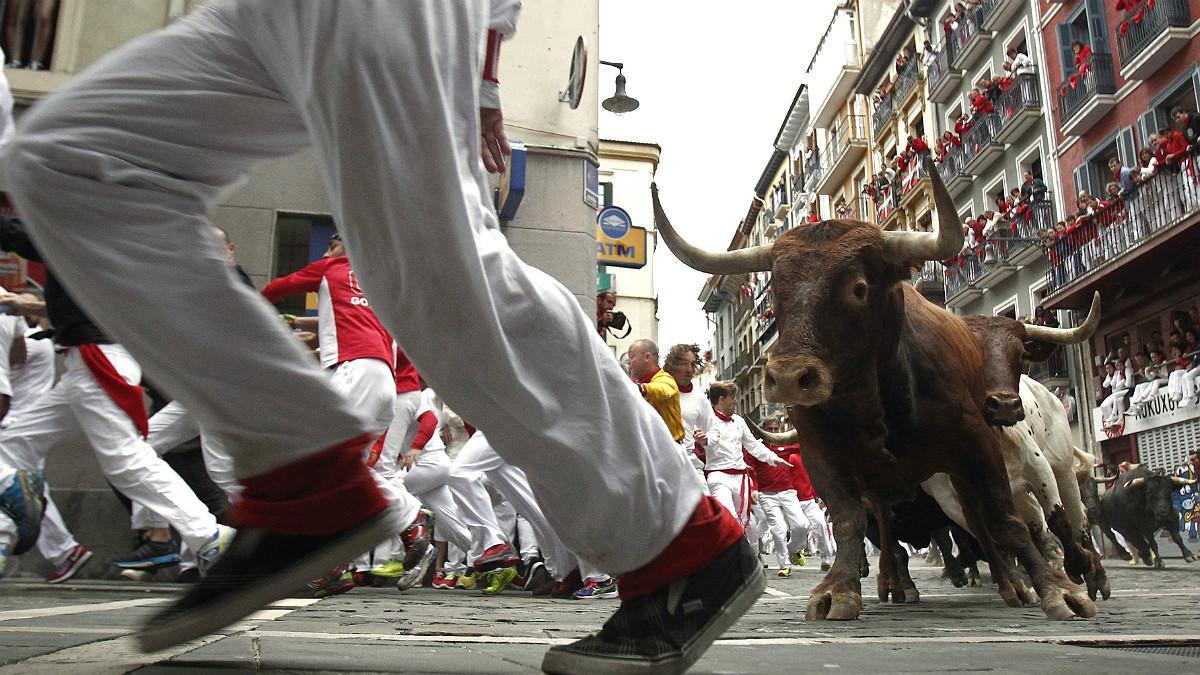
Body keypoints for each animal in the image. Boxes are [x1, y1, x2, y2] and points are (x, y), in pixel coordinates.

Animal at [652, 156, 1094, 619]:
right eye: (775, 293)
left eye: (859, 288)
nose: (789, 377)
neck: (873, 400)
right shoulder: (823, 456)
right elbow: (849, 521)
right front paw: (838, 590)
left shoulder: (977, 445)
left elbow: (1006, 520)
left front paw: (1057, 589)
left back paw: (1020, 581)